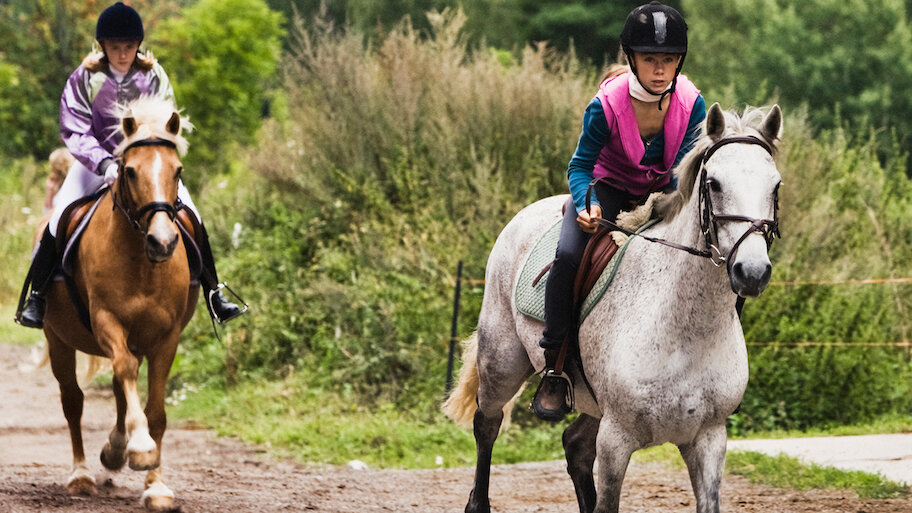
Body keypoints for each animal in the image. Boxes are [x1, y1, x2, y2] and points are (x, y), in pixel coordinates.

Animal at [41, 95, 199, 511]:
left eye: (177, 170)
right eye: (129, 171)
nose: (163, 242)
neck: (142, 263)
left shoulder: (165, 337)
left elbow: (155, 411)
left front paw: (155, 485)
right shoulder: (106, 321)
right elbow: (125, 375)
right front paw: (140, 447)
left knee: (117, 386)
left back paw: (113, 451)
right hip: (57, 340)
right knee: (73, 400)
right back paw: (81, 474)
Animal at [444, 103, 783, 513]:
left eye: (775, 186)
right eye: (714, 183)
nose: (752, 271)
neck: (686, 332)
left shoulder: (708, 439)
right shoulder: (616, 439)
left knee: (574, 445)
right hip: (502, 363)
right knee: (487, 425)